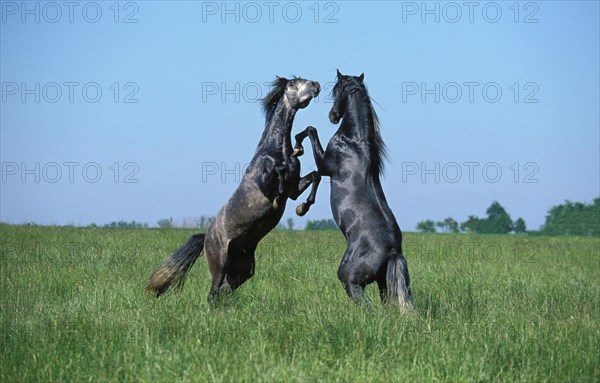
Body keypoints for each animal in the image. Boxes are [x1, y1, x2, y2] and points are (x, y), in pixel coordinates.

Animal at [147, 76, 322, 304]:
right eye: (293, 83)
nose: (315, 85)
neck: (277, 150)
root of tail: (207, 237)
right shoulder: (265, 185)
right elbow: (278, 173)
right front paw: (279, 198)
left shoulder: (293, 190)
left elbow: (315, 175)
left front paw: (303, 207)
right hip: (219, 264)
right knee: (213, 293)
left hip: (243, 269)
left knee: (223, 291)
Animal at [294, 71, 414, 312]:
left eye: (335, 91)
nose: (332, 116)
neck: (353, 142)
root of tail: (392, 251)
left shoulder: (325, 166)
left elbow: (312, 136)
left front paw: (302, 206)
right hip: (383, 283)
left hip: (350, 277)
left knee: (365, 304)